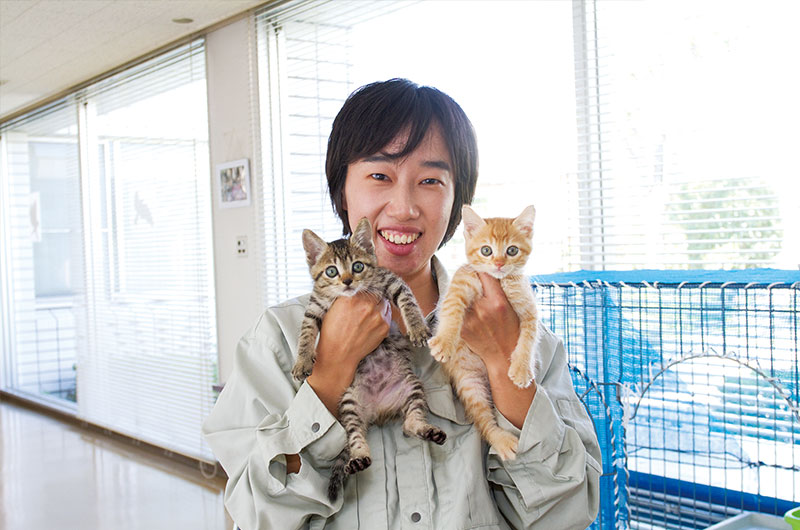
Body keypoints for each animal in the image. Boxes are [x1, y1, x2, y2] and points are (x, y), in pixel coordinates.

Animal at [292, 218, 446, 500]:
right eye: (331, 271)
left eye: (358, 266)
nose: (347, 281)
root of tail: (379, 411)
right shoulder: (314, 308)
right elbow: (305, 335)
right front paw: (302, 361)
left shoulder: (392, 282)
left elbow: (408, 301)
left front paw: (417, 327)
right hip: (350, 404)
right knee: (355, 436)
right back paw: (359, 457)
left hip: (411, 387)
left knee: (409, 424)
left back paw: (425, 429)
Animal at [432, 204, 536, 460]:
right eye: (486, 250)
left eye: (511, 250)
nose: (498, 263)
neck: (500, 282)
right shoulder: (461, 284)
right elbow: (451, 311)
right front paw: (445, 341)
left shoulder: (528, 308)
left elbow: (529, 339)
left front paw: (521, 368)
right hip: (470, 384)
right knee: (483, 419)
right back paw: (500, 439)